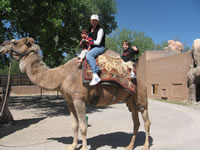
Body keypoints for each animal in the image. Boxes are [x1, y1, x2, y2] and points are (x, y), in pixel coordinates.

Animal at [0, 37, 150, 150]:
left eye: (15, 42)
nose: (2, 45)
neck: (62, 76)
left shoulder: (79, 100)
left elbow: (83, 126)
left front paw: (84, 148)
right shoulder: (69, 101)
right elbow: (74, 125)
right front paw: (72, 146)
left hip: (141, 98)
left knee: (146, 121)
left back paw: (145, 146)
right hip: (130, 100)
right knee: (136, 122)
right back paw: (129, 146)